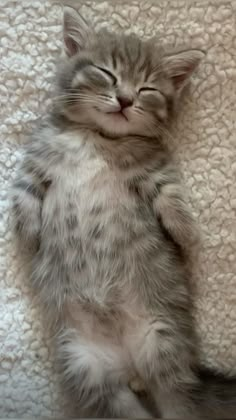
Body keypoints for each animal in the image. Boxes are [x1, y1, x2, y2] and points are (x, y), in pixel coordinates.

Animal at [11, 7, 236, 420]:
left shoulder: (154, 169)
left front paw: (186, 234)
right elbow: (23, 195)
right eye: (108, 74)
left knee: (179, 403)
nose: (126, 100)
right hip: (86, 366)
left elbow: (170, 196)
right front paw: (26, 233)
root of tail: (129, 364)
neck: (98, 138)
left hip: (163, 342)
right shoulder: (37, 160)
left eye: (148, 89)